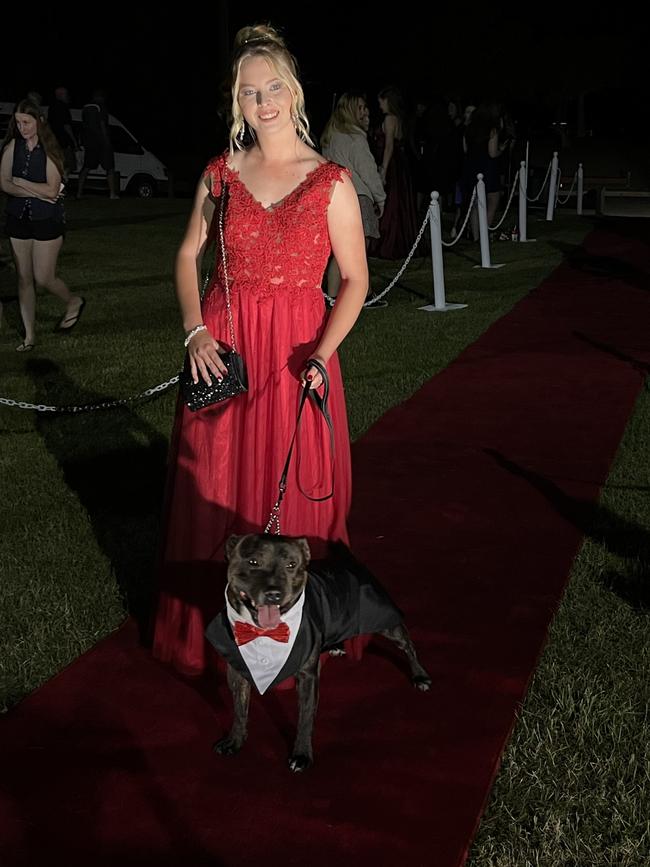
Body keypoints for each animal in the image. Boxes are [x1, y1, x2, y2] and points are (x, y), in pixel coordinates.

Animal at [208, 536, 430, 772]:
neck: (264, 631)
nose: (274, 594)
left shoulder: (308, 678)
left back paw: (420, 675)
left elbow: (305, 717)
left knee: (408, 645)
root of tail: (349, 561)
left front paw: (301, 755)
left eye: (291, 565)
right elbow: (240, 710)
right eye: (252, 562)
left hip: (386, 621)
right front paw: (235, 741)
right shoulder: (237, 671)